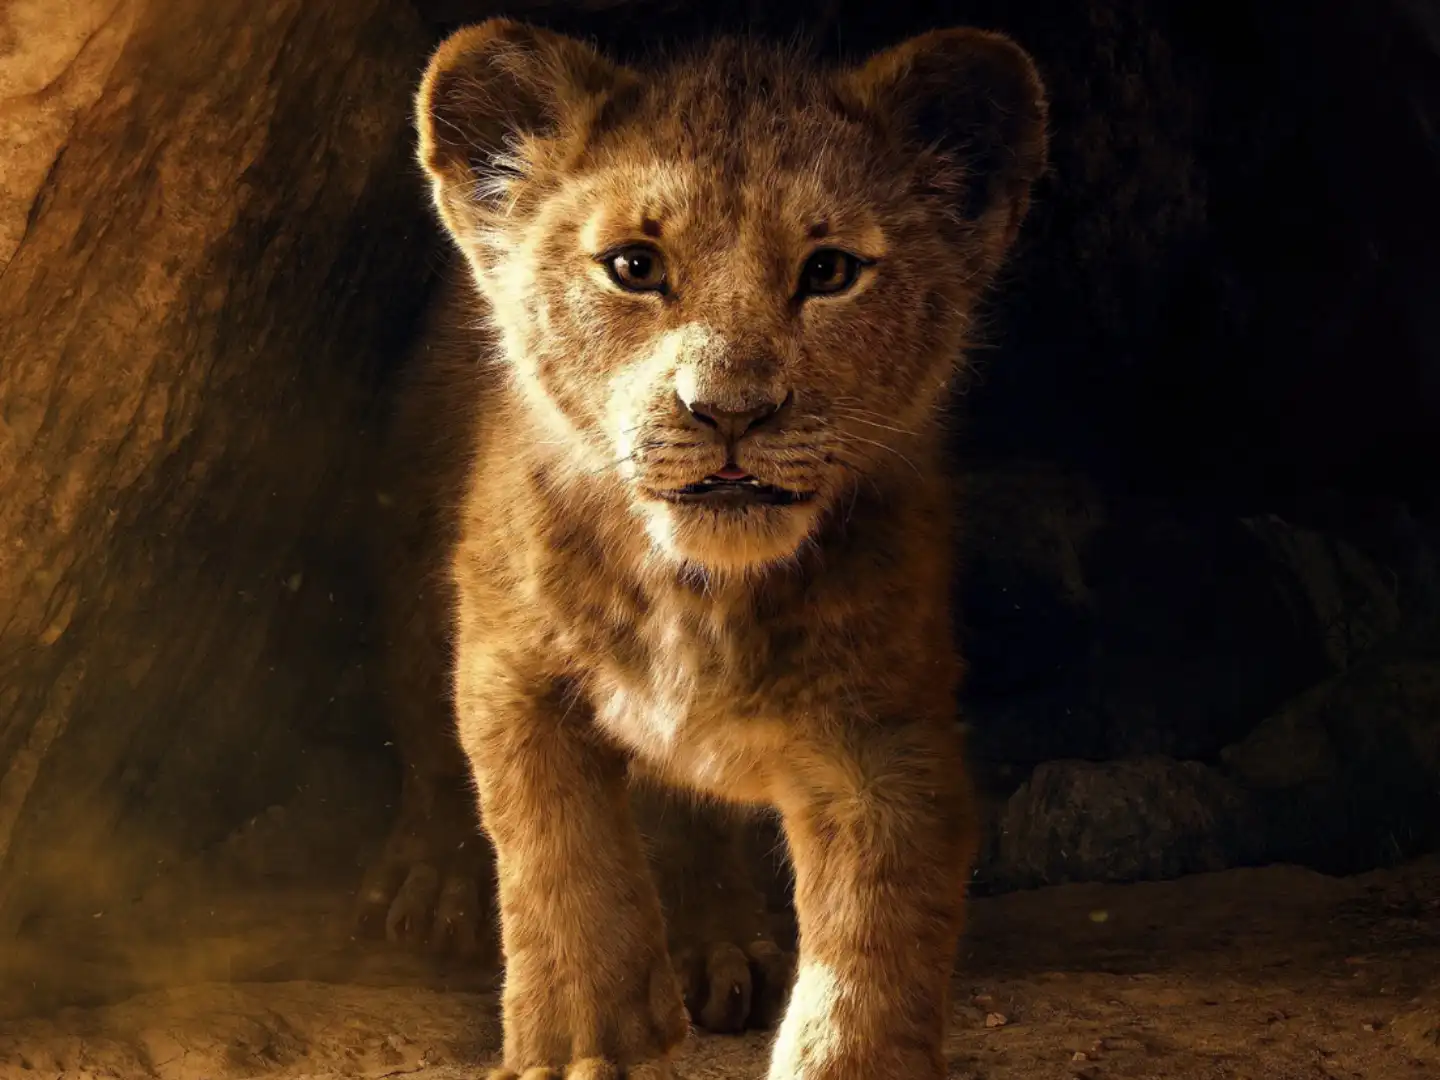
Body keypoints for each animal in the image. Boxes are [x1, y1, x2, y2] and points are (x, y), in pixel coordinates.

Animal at [367, 17, 1046, 1079]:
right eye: (634, 267)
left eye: (829, 271)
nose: (730, 410)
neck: (699, 588)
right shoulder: (511, 662)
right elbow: (556, 848)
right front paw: (576, 1042)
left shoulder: (886, 723)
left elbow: (878, 929)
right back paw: (430, 884)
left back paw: (717, 945)